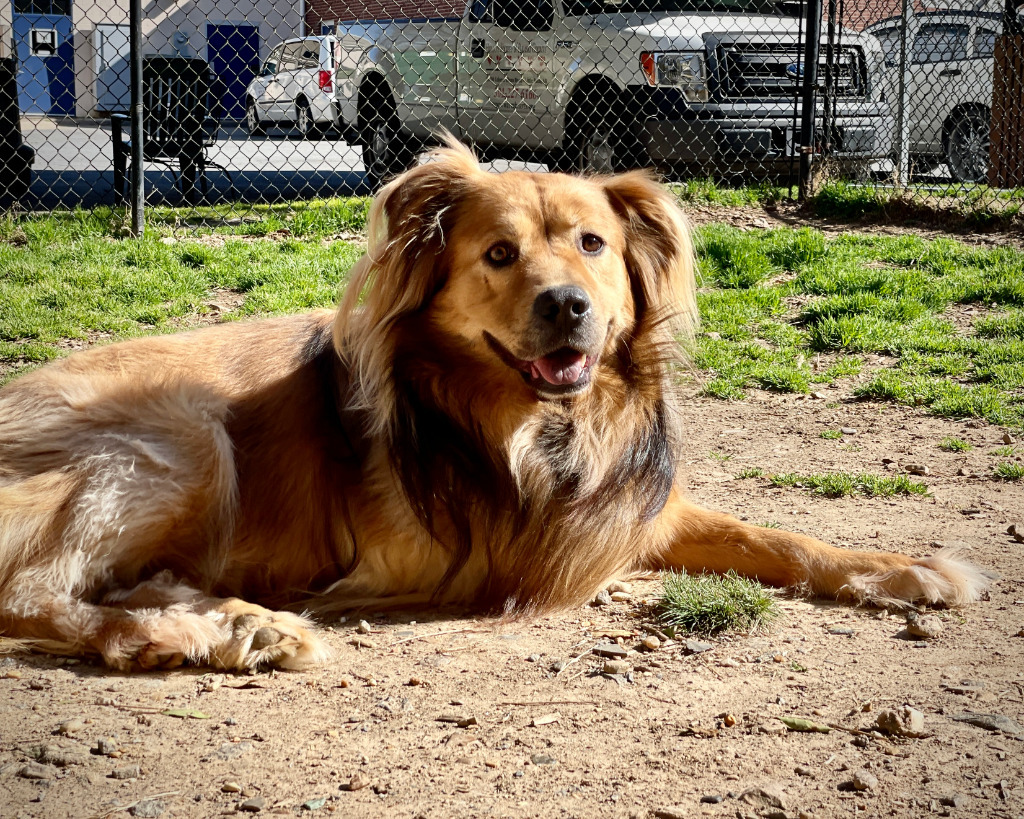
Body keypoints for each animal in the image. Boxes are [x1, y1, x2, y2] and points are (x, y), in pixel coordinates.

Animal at [2, 142, 991, 671]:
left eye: (593, 244)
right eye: (500, 254)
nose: (570, 306)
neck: (541, 424)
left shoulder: (632, 509)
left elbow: (779, 536)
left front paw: (905, 569)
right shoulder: (509, 545)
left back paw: (237, 620)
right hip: (186, 435)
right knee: (35, 593)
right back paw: (184, 632)